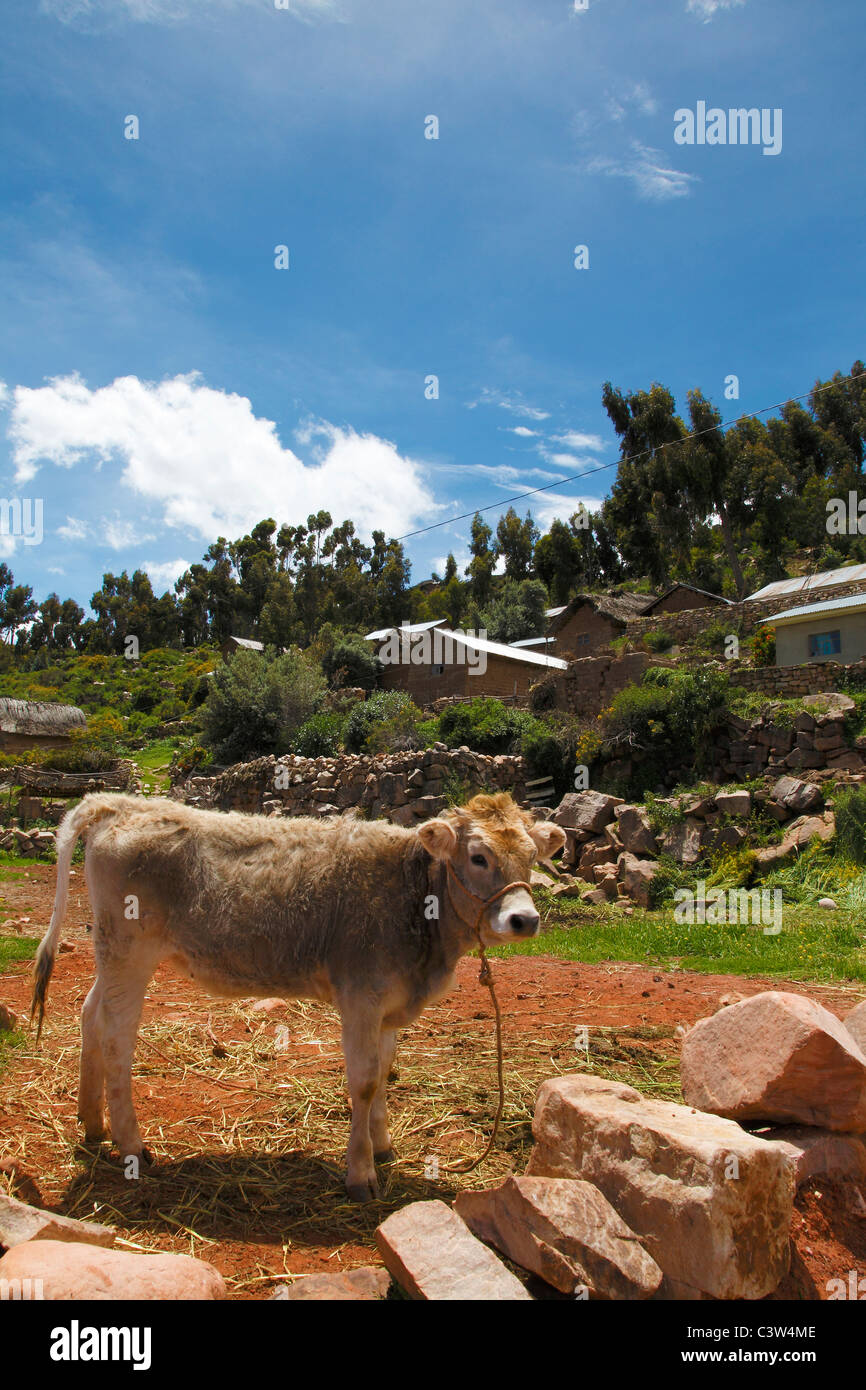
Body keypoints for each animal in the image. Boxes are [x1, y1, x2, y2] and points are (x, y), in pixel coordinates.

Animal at [32, 789, 561, 1200]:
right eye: (479, 857)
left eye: (532, 858)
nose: (524, 919)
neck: (414, 900)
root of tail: (119, 804)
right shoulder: (361, 999)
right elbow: (364, 1082)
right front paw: (361, 1173)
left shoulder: (388, 1006)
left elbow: (384, 1073)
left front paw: (383, 1145)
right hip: (130, 952)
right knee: (117, 1037)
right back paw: (132, 1146)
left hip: (113, 955)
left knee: (91, 1015)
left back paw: (92, 1123)